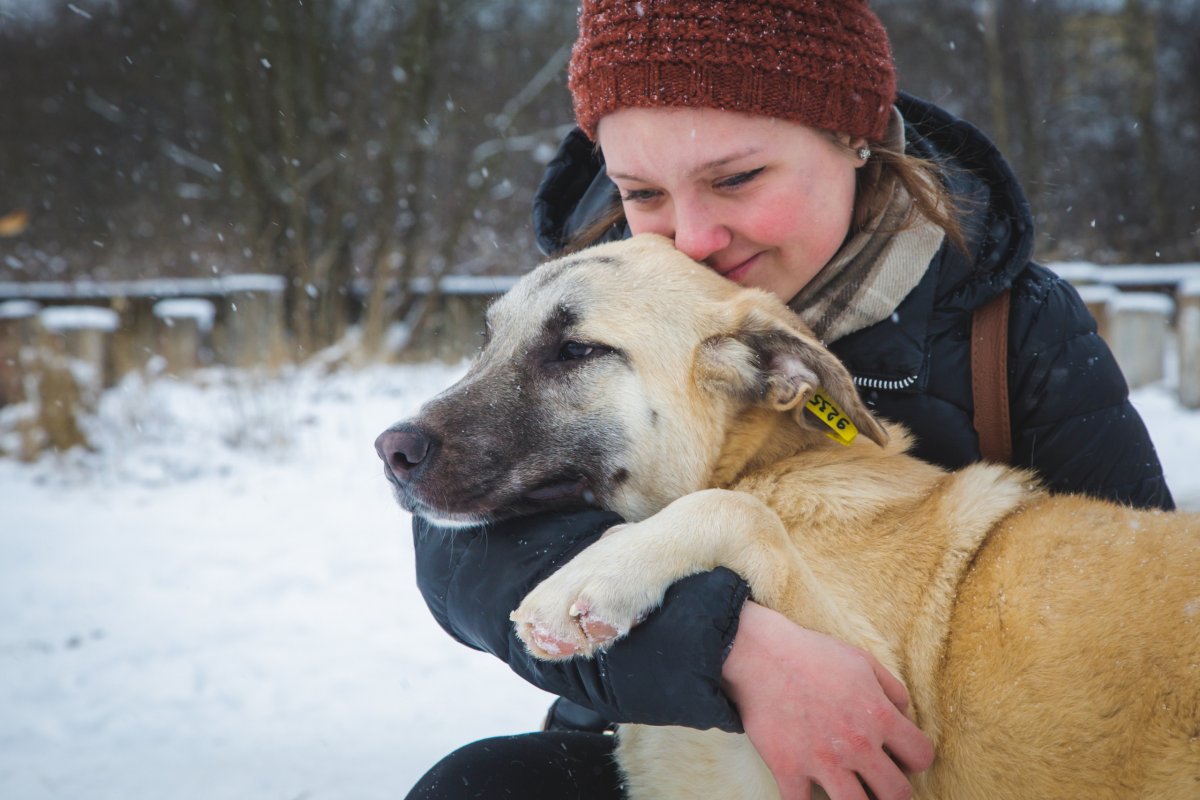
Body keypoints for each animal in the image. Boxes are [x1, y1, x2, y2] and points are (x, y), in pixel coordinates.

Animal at [379, 235, 1200, 800]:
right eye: (488, 340)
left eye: (576, 350)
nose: (392, 450)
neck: (769, 466)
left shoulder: (884, 711)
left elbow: (734, 511)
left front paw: (590, 579)